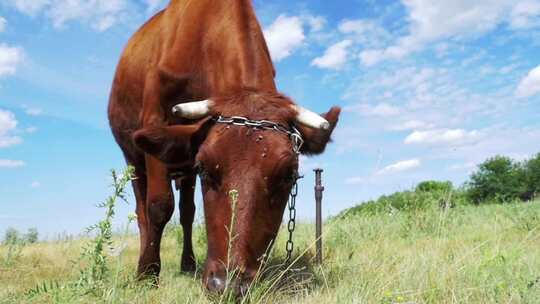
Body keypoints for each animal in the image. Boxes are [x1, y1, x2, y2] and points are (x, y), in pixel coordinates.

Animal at [107, 0, 340, 294]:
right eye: (206, 168)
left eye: (288, 176)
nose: (228, 284)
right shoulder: (154, 117)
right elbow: (159, 206)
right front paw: (147, 274)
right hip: (133, 159)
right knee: (142, 212)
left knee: (187, 212)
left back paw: (188, 264)